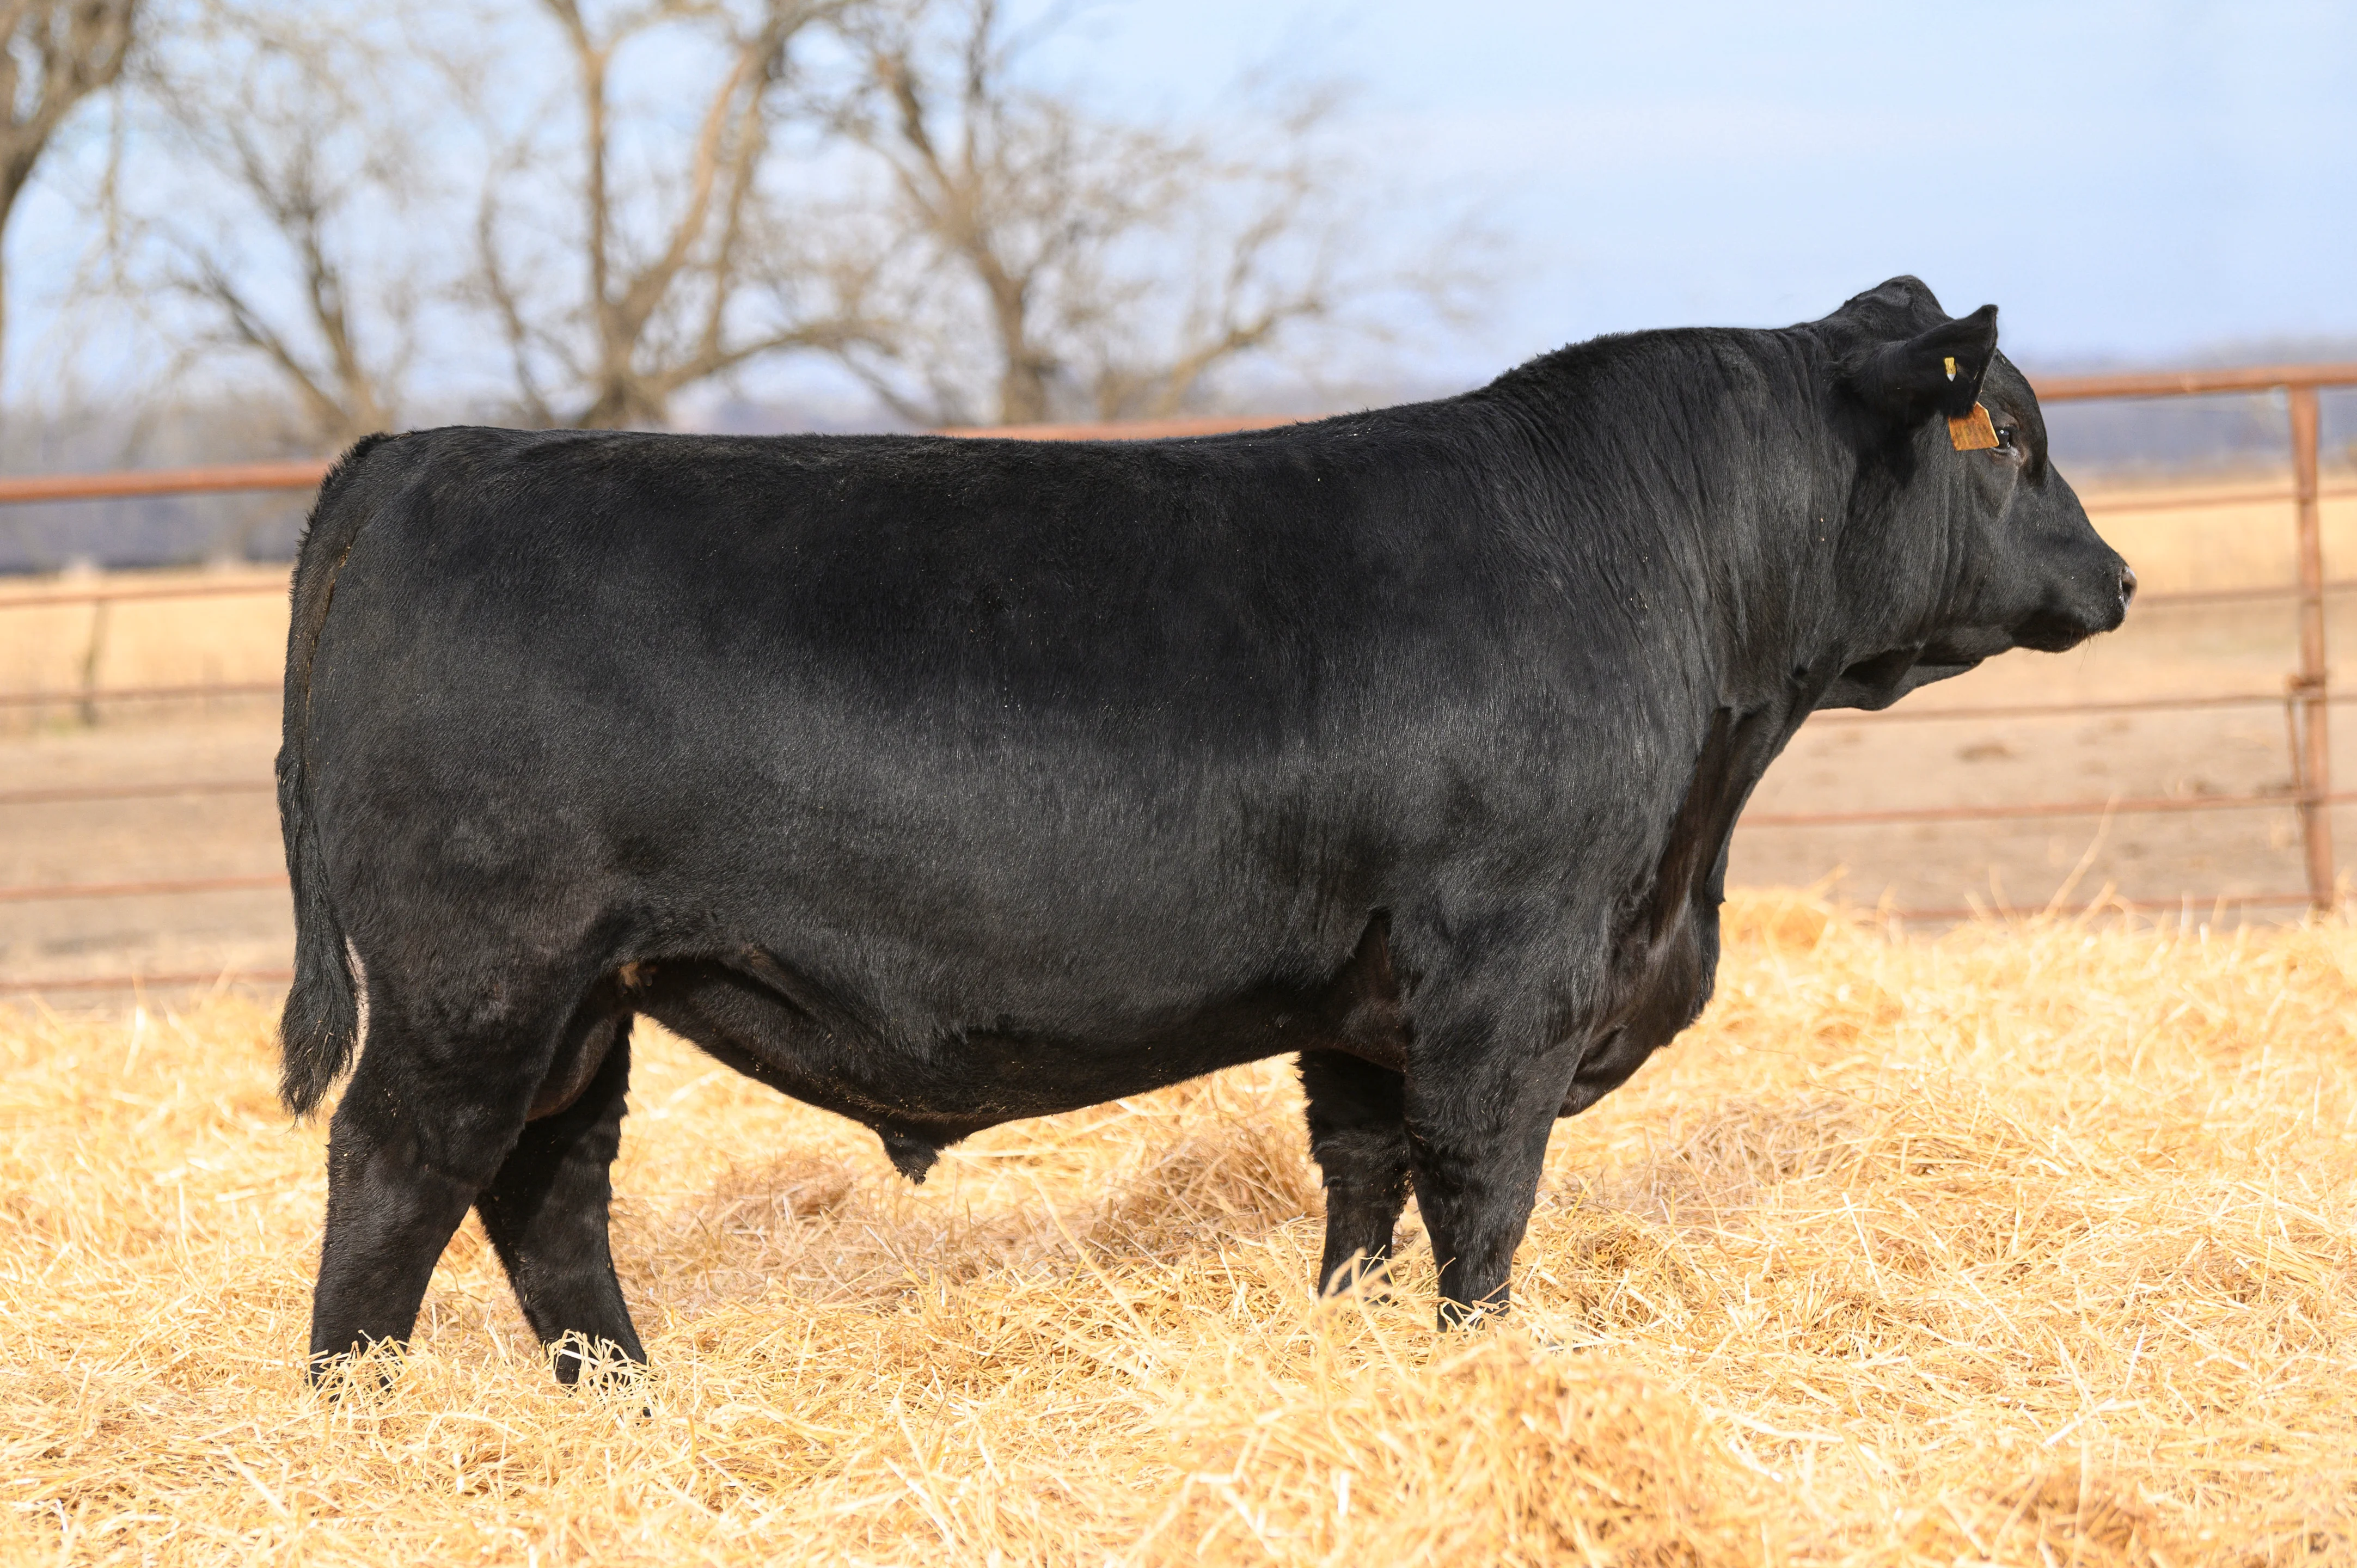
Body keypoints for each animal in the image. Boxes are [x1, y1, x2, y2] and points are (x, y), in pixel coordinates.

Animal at [276, 276, 2132, 1383]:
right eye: (2014, 435)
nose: (2116, 577)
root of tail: (421, 456)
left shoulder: (1369, 1003)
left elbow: (1365, 1181)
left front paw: (1347, 1344)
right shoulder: (1507, 963)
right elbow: (1484, 1194)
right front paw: (1480, 1375)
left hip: (583, 998)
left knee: (545, 1196)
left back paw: (626, 1401)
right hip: (478, 976)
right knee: (398, 1171)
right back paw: (362, 1417)